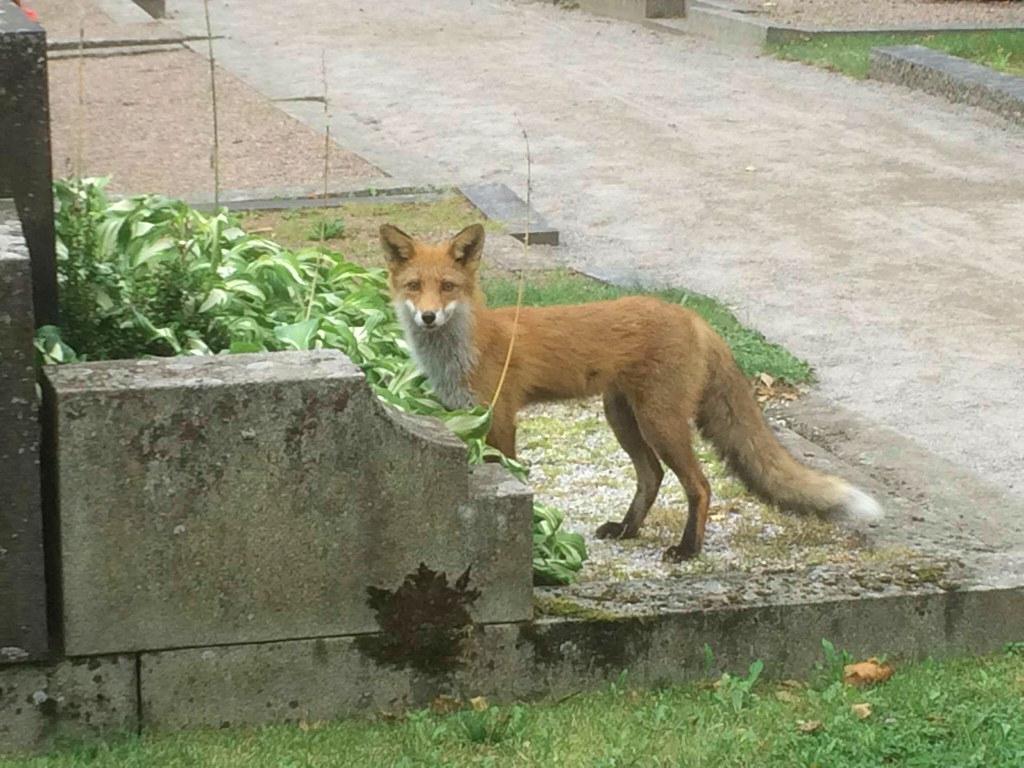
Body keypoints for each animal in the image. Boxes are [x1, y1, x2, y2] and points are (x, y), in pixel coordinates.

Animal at [380, 225, 884, 561]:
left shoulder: (500, 418)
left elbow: (508, 474)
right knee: (652, 477)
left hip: (659, 421)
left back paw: (687, 550)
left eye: (447, 287)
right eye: (414, 287)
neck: (465, 347)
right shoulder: (461, 417)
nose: (428, 317)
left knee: (698, 484)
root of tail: (695, 317)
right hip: (621, 416)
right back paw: (627, 529)